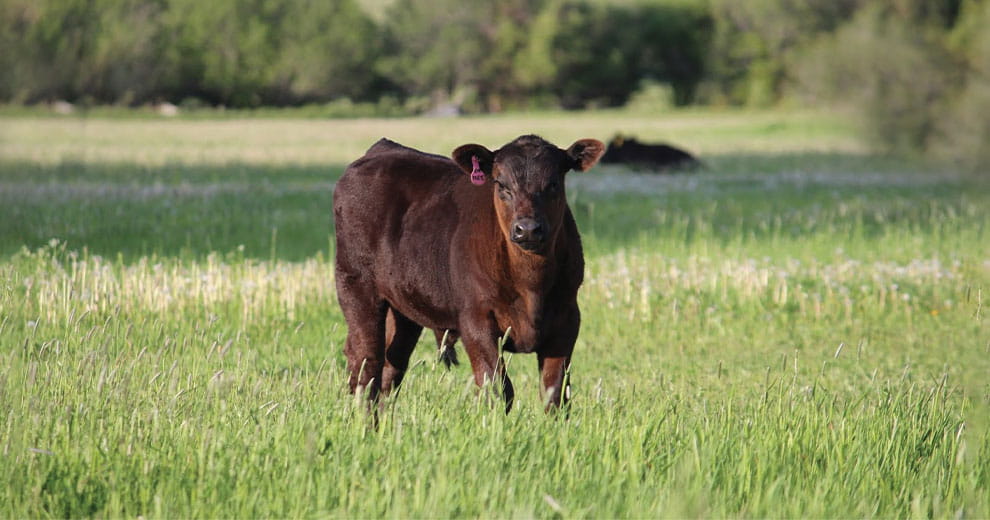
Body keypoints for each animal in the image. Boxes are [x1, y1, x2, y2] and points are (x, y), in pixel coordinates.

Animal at [333, 135, 604, 412]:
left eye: (553, 184)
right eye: (501, 184)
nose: (527, 229)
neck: (532, 286)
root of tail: (382, 148)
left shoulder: (567, 318)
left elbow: (555, 391)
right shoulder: (476, 319)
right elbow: (497, 387)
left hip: (403, 307)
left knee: (390, 363)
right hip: (355, 285)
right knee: (366, 361)